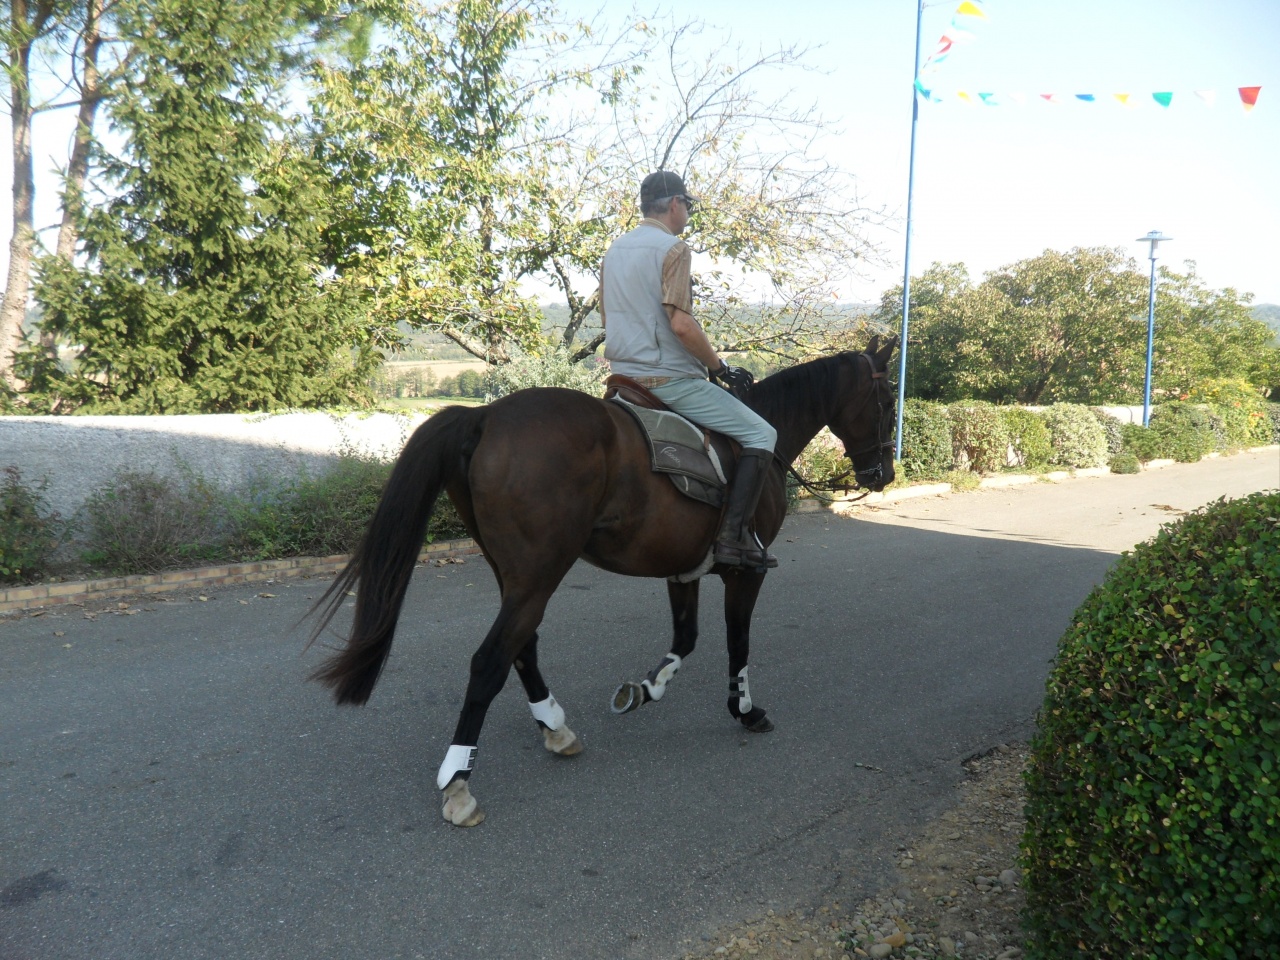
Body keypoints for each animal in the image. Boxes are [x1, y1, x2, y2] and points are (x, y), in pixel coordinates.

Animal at [305, 335, 901, 829]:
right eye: (885, 399)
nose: (884, 475)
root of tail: (485, 418)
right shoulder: (744, 571)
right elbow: (738, 643)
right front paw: (745, 710)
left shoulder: (682, 568)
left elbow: (685, 639)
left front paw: (647, 688)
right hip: (539, 574)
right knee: (490, 660)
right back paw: (458, 784)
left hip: (517, 576)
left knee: (522, 647)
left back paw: (555, 726)